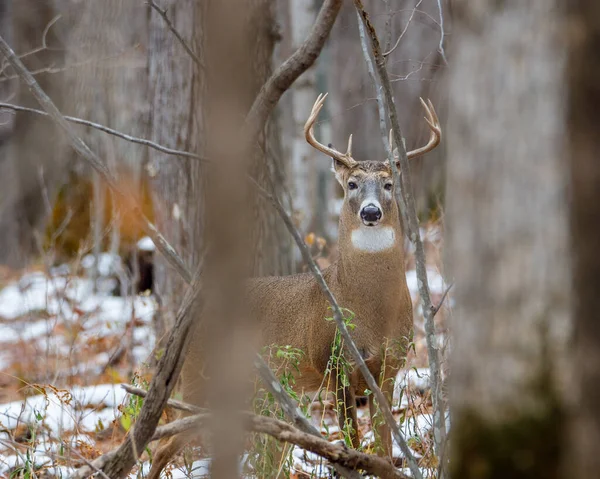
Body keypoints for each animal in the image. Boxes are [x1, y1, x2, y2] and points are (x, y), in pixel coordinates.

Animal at [149, 94, 440, 479]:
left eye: (389, 184)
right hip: (200, 378)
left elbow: (382, 445)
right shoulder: (335, 363)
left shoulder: (391, 367)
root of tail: (175, 331)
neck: (371, 311)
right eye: (352, 184)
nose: (371, 212)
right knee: (163, 444)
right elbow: (351, 443)